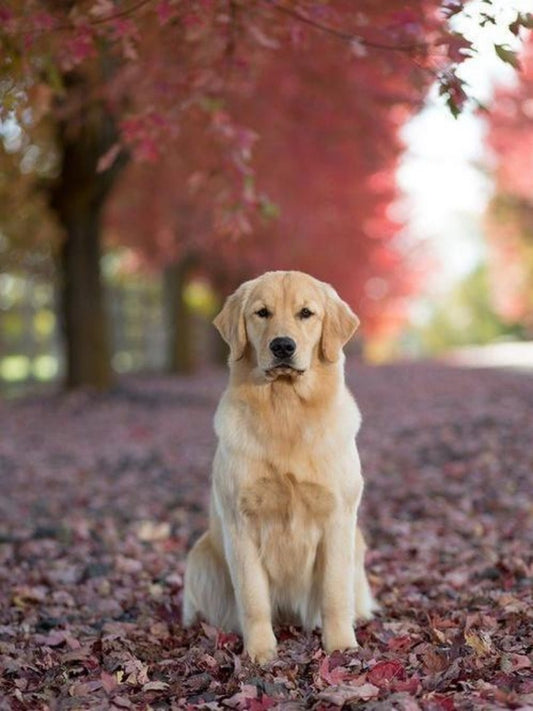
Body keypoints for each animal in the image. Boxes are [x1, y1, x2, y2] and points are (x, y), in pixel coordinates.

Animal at [183, 272, 374, 660]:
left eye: (306, 313)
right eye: (262, 313)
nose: (282, 346)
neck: (285, 410)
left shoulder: (337, 518)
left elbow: (335, 593)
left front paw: (340, 646)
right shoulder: (240, 523)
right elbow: (254, 599)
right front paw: (260, 653)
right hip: (199, 558)